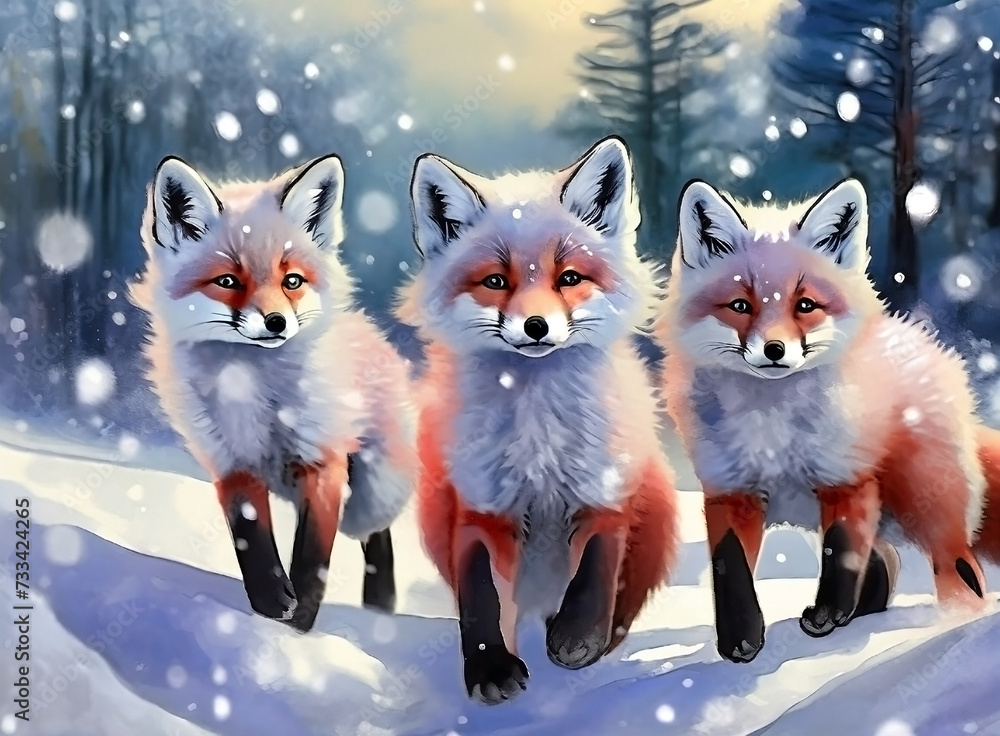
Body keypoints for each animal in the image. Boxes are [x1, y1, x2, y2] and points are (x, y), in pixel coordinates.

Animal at [129, 153, 417, 632]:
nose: (277, 322)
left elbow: (312, 558)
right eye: (228, 281)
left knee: (376, 536)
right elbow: (251, 542)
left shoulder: (322, 461)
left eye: (292, 281)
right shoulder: (232, 462)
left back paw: (381, 606)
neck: (253, 393)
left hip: (372, 492)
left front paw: (298, 626)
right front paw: (269, 604)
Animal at [396, 136, 679, 704]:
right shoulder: (483, 506)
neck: (539, 444)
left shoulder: (602, 493)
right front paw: (490, 669)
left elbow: (594, 575)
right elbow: (480, 595)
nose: (535, 326)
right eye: (496, 281)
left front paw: (576, 641)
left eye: (568, 278)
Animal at [654, 177, 1000, 663]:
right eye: (740, 305)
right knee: (888, 562)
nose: (774, 350)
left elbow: (842, 558)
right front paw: (740, 639)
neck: (773, 430)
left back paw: (950, 628)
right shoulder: (730, 489)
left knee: (960, 573)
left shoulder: (845, 477)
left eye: (805, 306)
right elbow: (730, 569)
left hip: (924, 511)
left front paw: (826, 616)